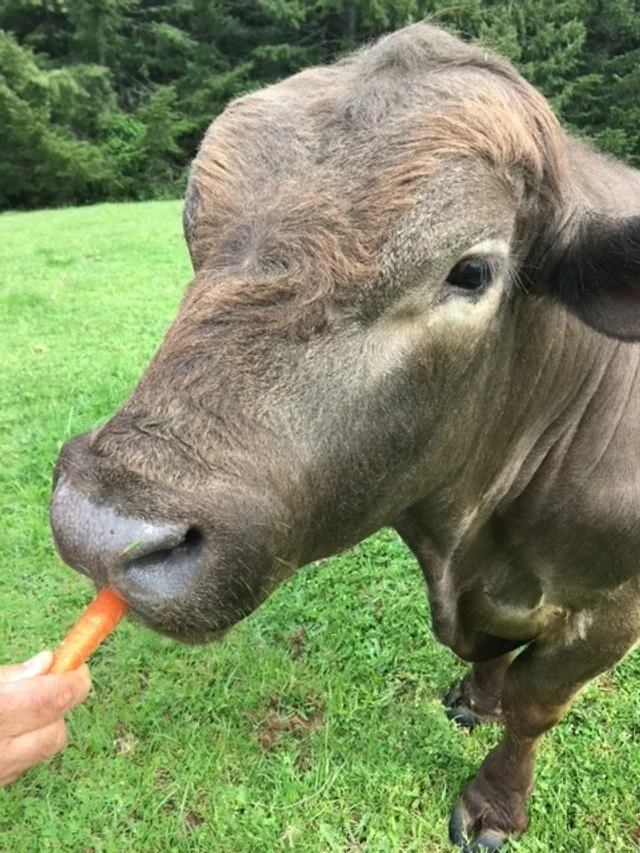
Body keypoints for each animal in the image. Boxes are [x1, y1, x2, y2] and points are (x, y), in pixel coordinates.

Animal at [50, 23, 640, 850]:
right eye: (194, 235)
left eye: (471, 270)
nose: (99, 528)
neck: (474, 529)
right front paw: (478, 695)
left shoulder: (612, 610)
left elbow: (534, 703)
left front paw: (495, 800)